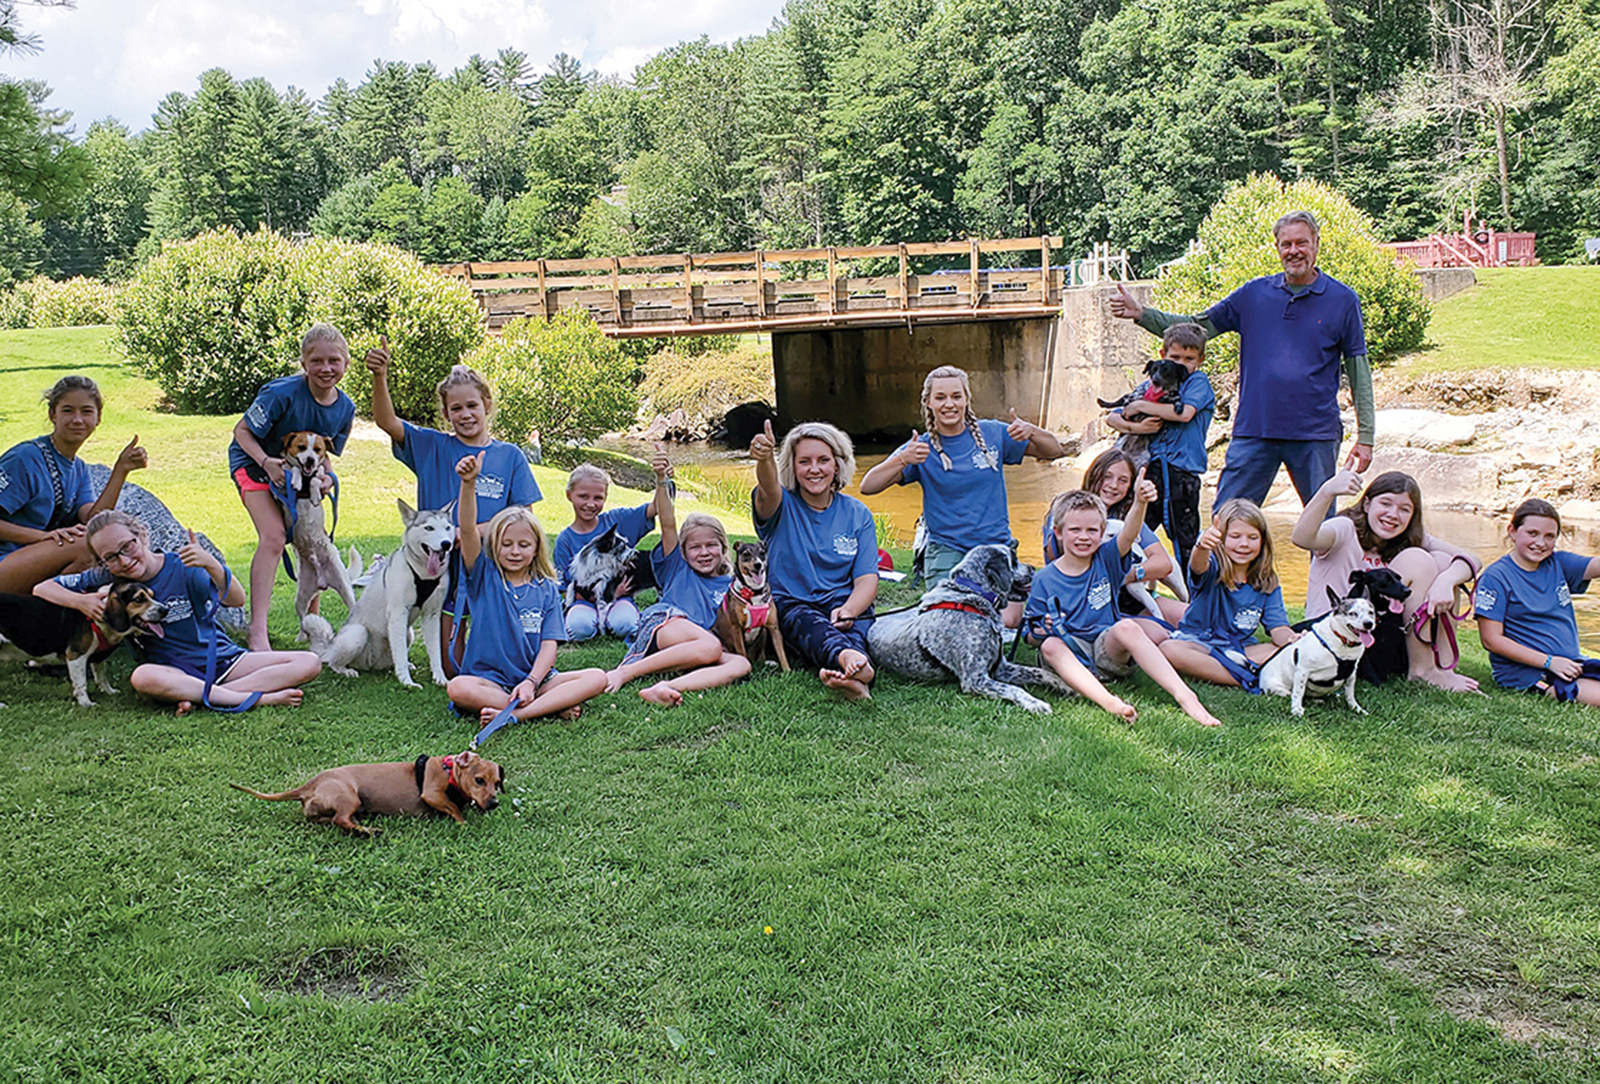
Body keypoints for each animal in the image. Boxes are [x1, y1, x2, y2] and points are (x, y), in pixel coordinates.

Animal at [232, 751, 502, 837]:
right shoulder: (432, 794)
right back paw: (367, 831)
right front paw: (463, 821)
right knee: (341, 819)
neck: (450, 771)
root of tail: (309, 785)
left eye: (497, 783)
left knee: (332, 820)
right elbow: (453, 807)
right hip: (349, 796)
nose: (493, 804)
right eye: (479, 780)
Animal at [304, 502, 457, 687]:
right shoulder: (398, 614)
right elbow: (401, 654)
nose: (446, 544)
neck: (424, 574)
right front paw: (407, 682)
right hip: (357, 633)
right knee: (335, 662)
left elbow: (435, 653)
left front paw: (440, 678)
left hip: (409, 633)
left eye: (447, 527)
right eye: (429, 528)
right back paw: (346, 670)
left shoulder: (432, 615)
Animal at [713, 540, 787, 671]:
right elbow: (742, 653)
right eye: (746, 554)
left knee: (760, 656)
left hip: (763, 632)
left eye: (762, 553)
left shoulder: (774, 627)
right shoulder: (736, 628)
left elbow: (782, 654)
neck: (754, 591)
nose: (758, 565)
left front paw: (788, 671)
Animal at [1254, 591, 1382, 716]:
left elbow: (1350, 694)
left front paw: (1356, 708)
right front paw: (1296, 709)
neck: (1342, 641)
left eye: (1371, 612)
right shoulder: (1302, 671)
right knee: (1293, 694)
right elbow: (1298, 692)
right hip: (1278, 689)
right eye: (1352, 613)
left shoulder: (1351, 674)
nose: (1369, 623)